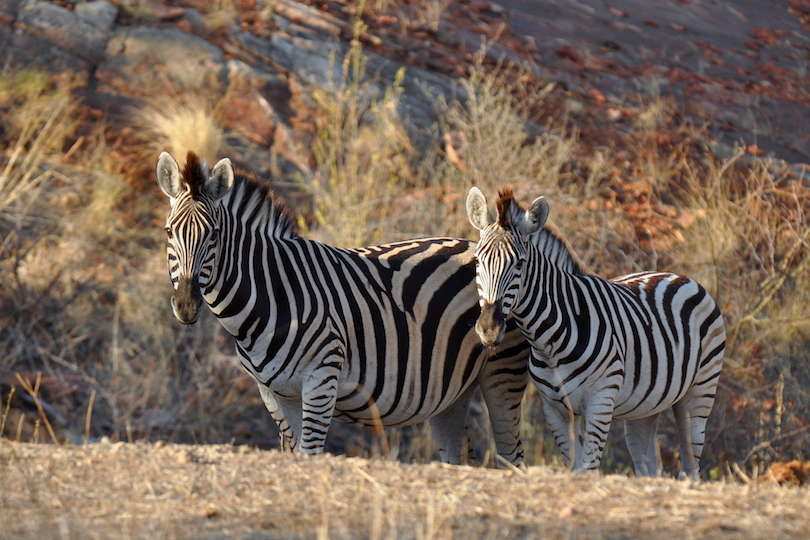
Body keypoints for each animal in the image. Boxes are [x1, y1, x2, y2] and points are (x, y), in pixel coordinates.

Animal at [155, 152, 532, 468]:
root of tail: (475, 243)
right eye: (169, 231)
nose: (187, 305)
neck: (271, 294)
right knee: (460, 455)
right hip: (452, 392)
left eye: (214, 235)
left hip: (503, 371)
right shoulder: (276, 394)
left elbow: (310, 455)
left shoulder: (322, 379)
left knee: (512, 455)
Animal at [464, 188, 724, 478]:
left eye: (519, 264)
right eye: (478, 260)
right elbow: (575, 467)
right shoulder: (555, 408)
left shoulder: (600, 402)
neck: (549, 341)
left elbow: (588, 469)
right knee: (648, 466)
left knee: (690, 467)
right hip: (645, 407)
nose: (489, 328)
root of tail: (674, 275)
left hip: (700, 392)